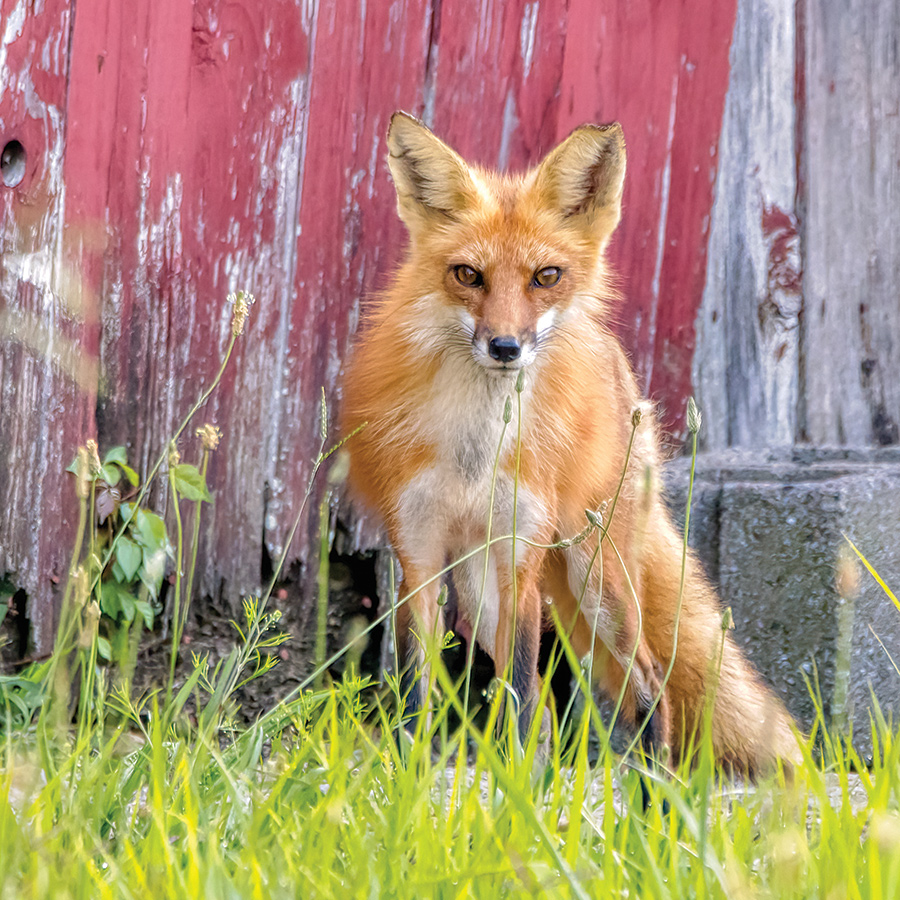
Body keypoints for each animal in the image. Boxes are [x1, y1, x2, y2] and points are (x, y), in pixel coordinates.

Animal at [341, 111, 801, 774]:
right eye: (468, 275)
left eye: (546, 277)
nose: (505, 347)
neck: (475, 450)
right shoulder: (419, 562)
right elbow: (414, 698)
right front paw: (411, 783)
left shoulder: (521, 563)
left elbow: (518, 692)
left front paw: (512, 786)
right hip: (482, 590)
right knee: (552, 705)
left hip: (594, 576)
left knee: (648, 682)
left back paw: (656, 793)